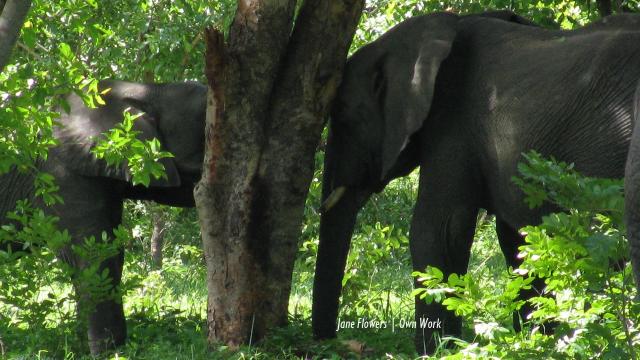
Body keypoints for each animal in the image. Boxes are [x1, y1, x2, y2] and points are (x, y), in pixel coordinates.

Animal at [312, 9, 640, 354]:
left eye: (341, 117)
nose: (331, 341)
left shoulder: (452, 122)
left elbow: (438, 230)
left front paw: (436, 351)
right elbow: (519, 241)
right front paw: (535, 342)